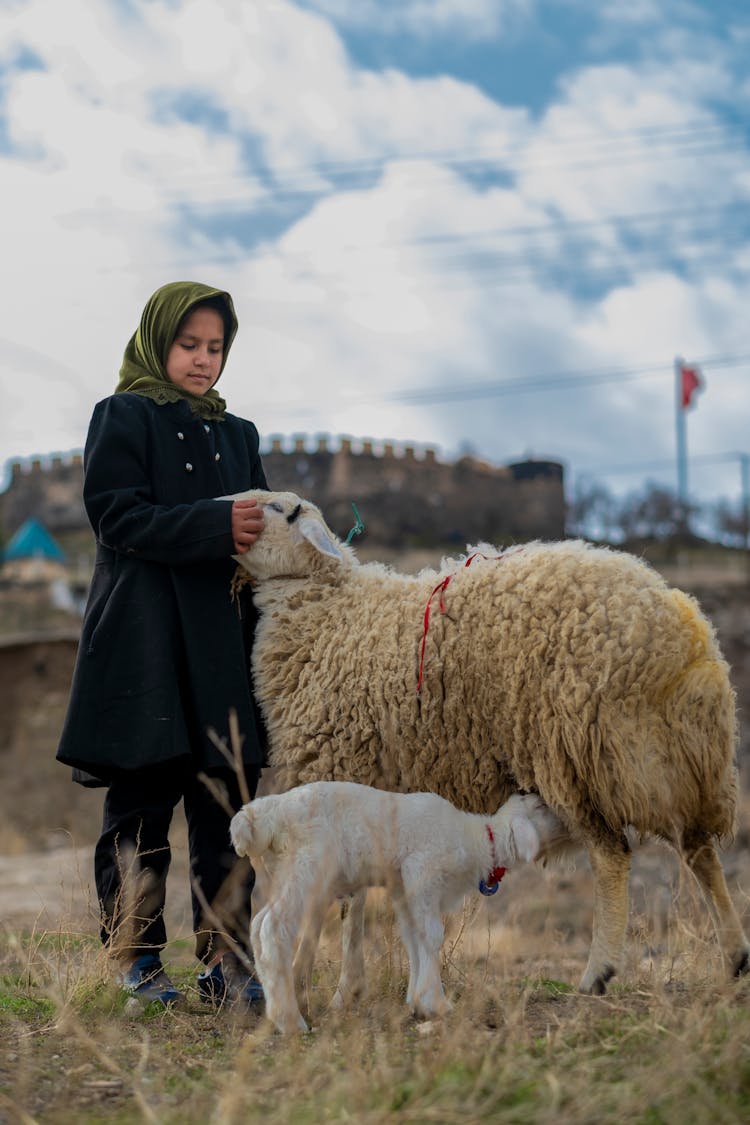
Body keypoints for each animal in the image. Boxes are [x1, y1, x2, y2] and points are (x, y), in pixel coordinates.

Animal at [231, 783, 566, 1030]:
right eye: (538, 808)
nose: (562, 813)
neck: (475, 840)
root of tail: (262, 814)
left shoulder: (404, 889)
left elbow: (413, 938)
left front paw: (416, 1000)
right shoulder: (422, 871)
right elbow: (431, 935)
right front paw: (436, 1002)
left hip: (282, 871)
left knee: (258, 924)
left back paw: (274, 1007)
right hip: (308, 867)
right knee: (273, 928)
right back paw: (290, 1020)